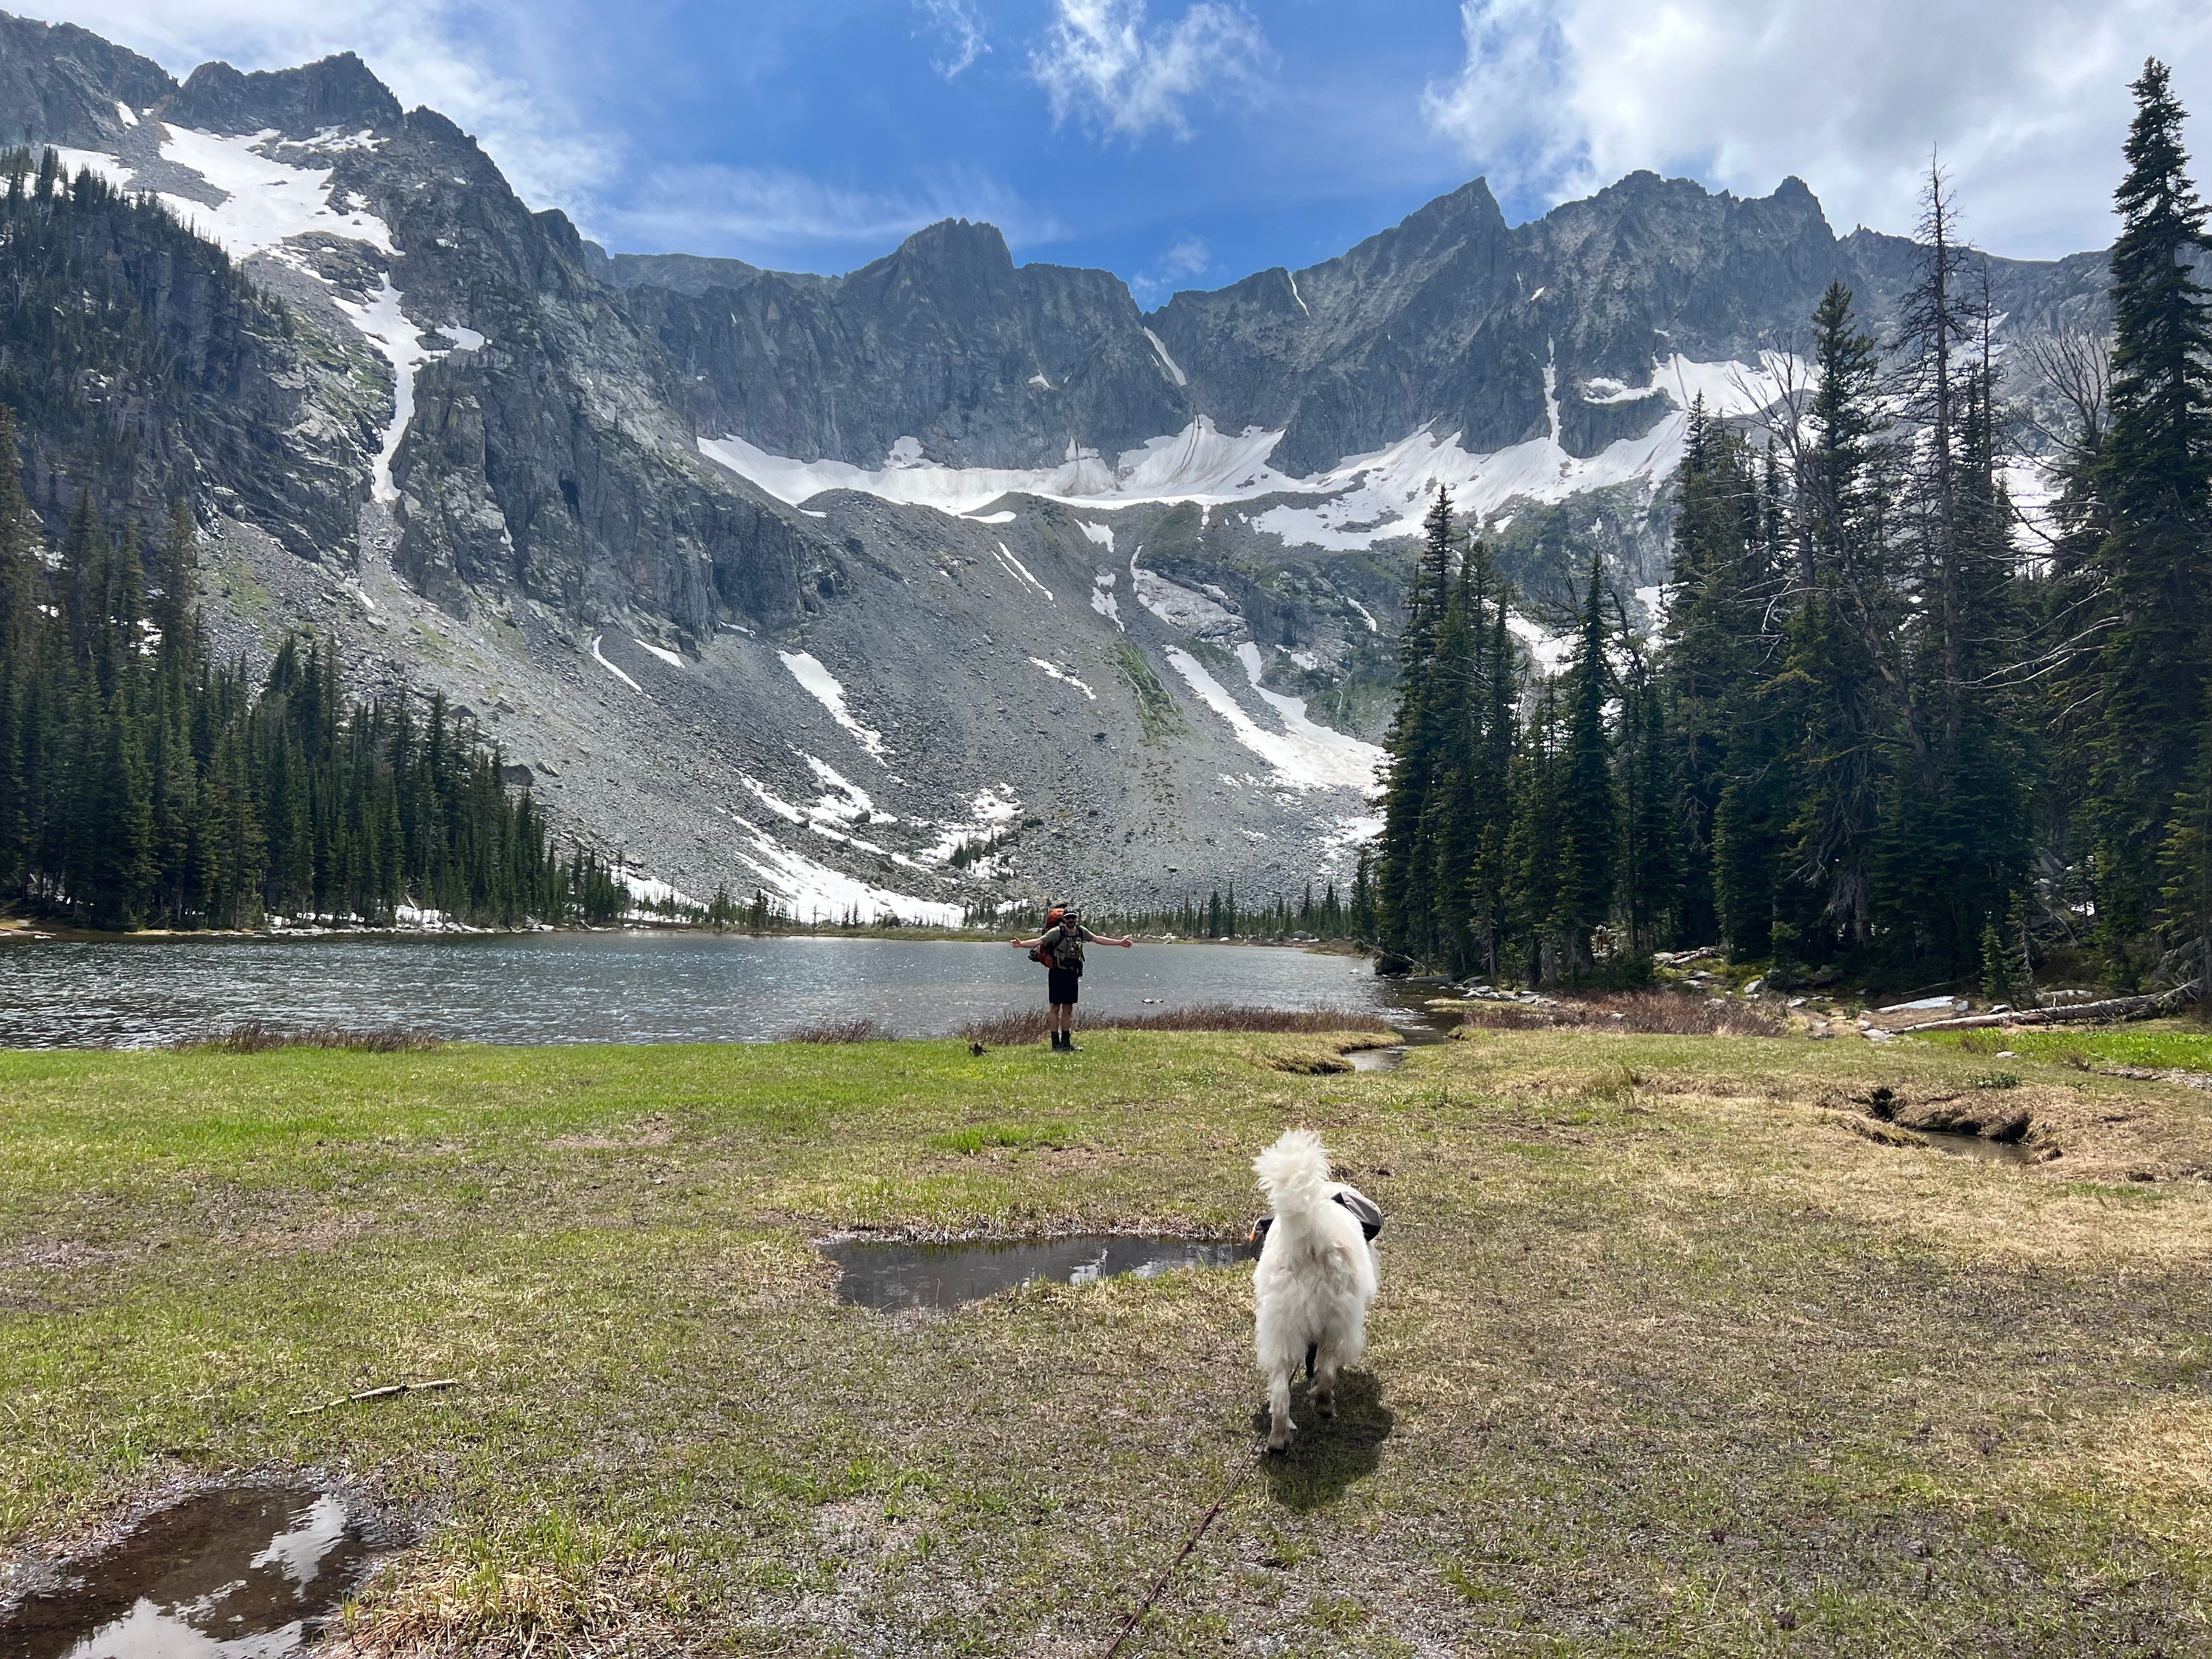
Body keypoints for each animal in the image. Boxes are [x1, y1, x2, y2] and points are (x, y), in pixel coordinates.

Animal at [1256, 1132, 1371, 1451]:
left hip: (1281, 1328)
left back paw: (1278, 1441)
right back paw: (1324, 1407)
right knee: (1327, 1369)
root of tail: (1310, 1239)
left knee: (1281, 1396)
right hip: (1338, 1324)